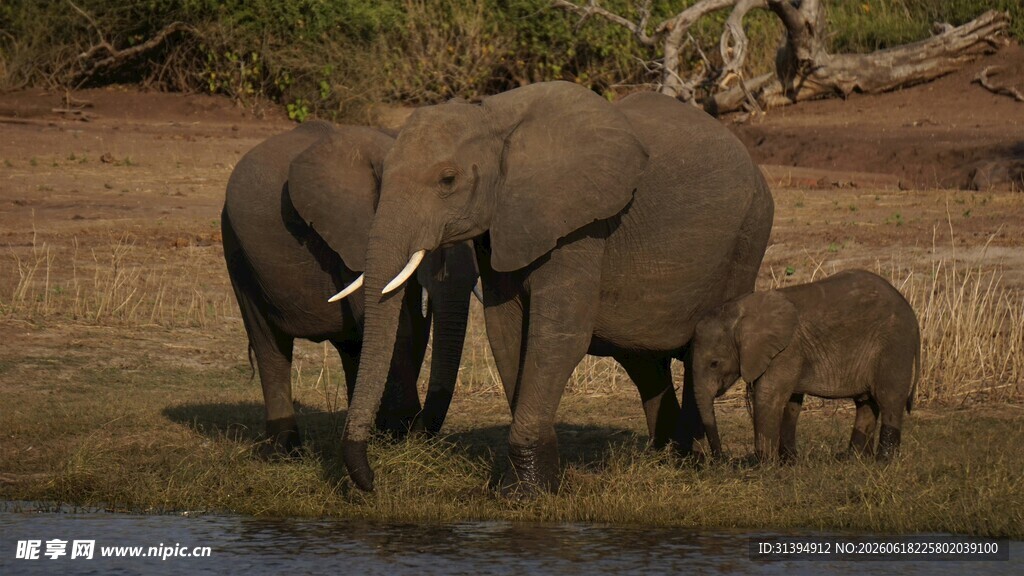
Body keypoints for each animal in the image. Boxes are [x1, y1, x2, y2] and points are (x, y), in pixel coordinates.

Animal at [221, 120, 477, 456]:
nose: (423, 433)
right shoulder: (351, 233)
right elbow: (393, 324)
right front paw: (399, 436)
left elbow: (410, 326)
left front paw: (393, 437)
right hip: (237, 250)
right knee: (269, 345)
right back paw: (285, 452)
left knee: (352, 348)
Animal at [331, 81, 774, 494]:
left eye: (447, 180)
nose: (372, 482)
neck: (493, 119)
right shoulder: (504, 224)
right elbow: (506, 332)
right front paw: (523, 484)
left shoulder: (579, 224)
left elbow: (557, 337)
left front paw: (526, 493)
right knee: (643, 361)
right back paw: (667, 454)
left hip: (749, 234)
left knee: (701, 346)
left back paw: (692, 459)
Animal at [691, 269, 920, 463]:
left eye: (714, 364)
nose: (720, 459)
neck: (741, 310)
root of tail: (910, 310)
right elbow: (791, 402)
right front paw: (789, 462)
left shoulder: (787, 350)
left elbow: (768, 396)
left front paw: (763, 465)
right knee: (865, 404)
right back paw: (852, 460)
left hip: (894, 345)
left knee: (889, 399)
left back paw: (883, 461)